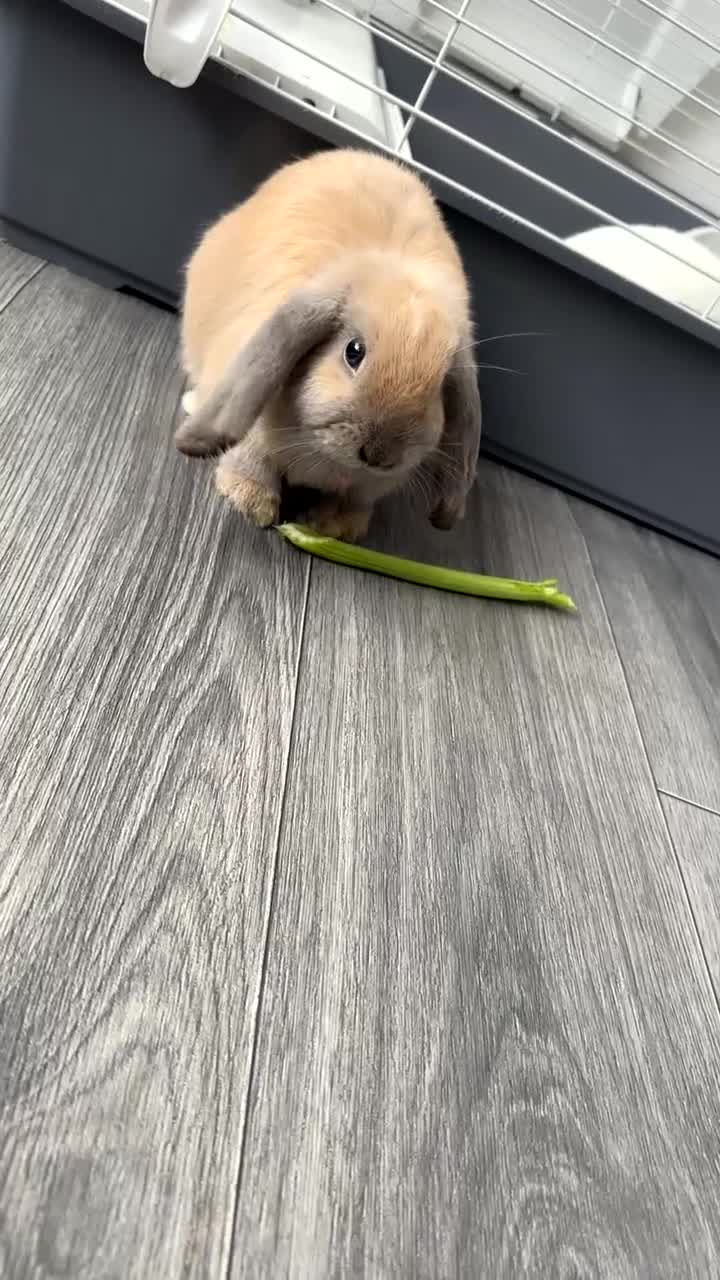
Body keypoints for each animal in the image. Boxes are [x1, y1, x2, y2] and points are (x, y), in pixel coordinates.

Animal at [176, 148, 481, 541]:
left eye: (440, 386)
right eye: (353, 352)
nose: (379, 455)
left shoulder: (366, 487)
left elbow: (352, 501)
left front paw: (336, 529)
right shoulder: (252, 438)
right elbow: (252, 464)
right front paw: (251, 504)